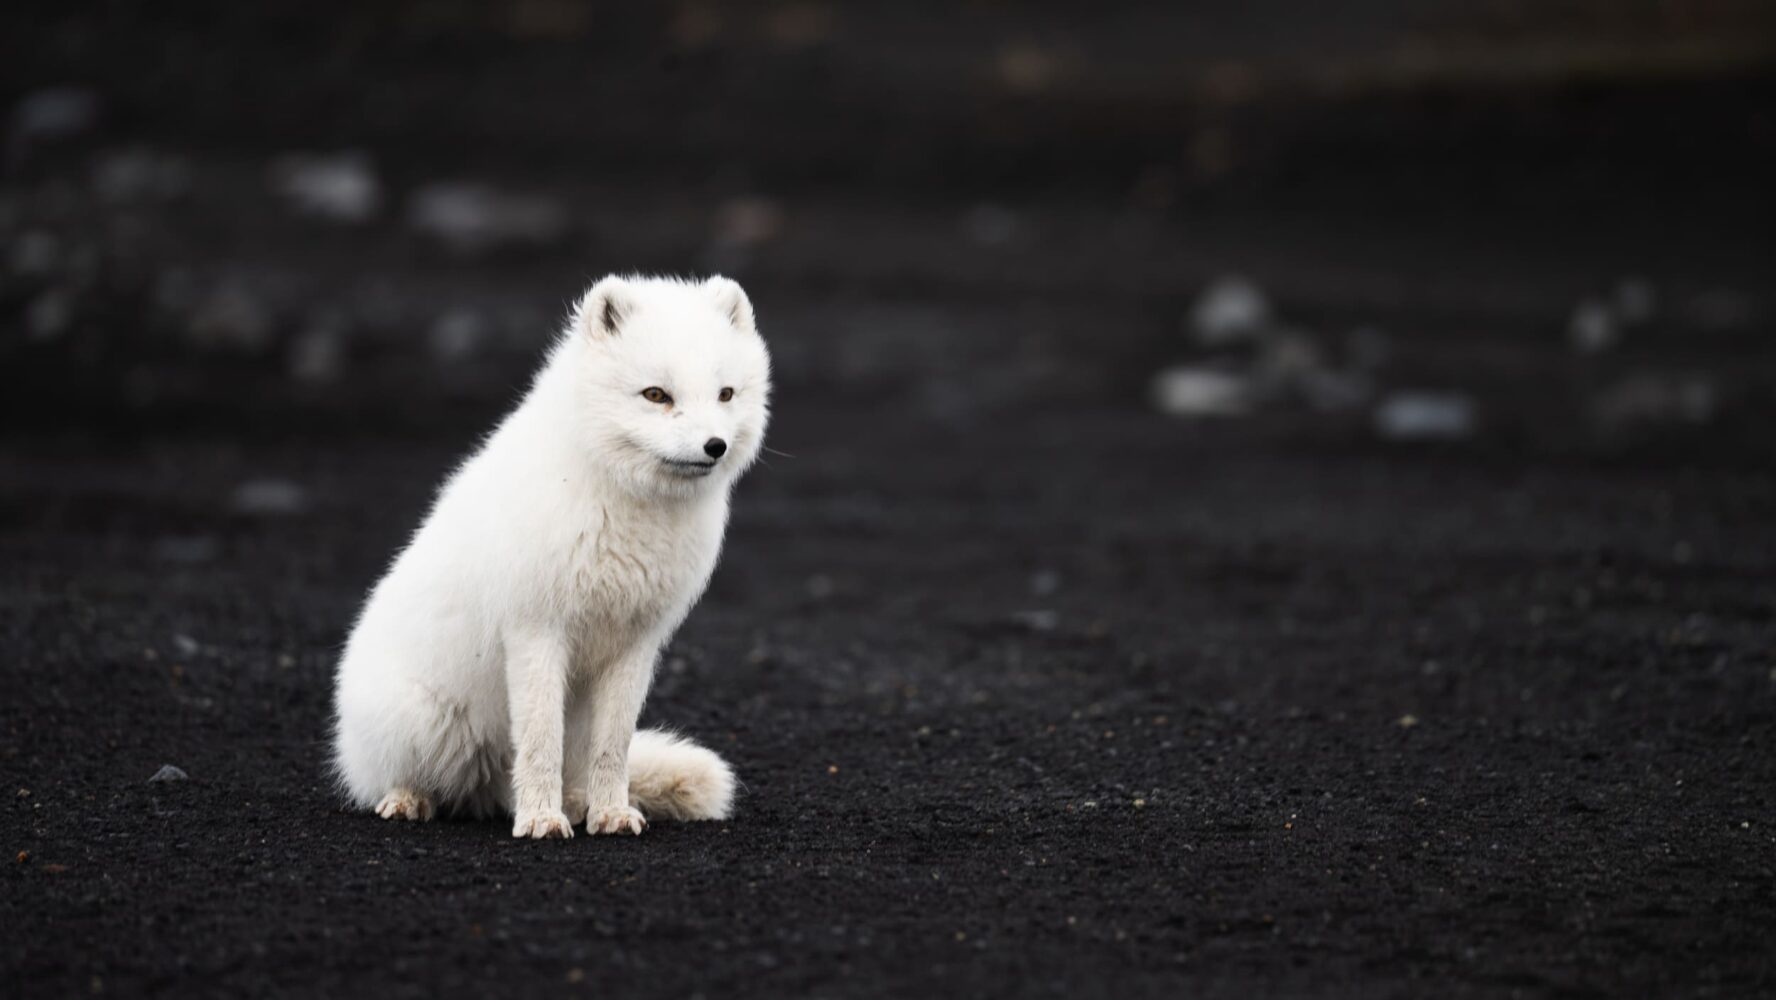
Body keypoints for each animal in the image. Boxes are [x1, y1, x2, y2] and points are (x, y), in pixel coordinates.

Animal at [331, 274, 770, 838]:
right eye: (657, 395)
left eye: (725, 394)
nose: (714, 446)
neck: (623, 504)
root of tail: (486, 786)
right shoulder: (536, 630)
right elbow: (540, 740)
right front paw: (541, 819)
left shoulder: (636, 642)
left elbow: (614, 746)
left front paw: (610, 813)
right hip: (419, 721)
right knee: (398, 777)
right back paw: (411, 799)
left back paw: (578, 803)